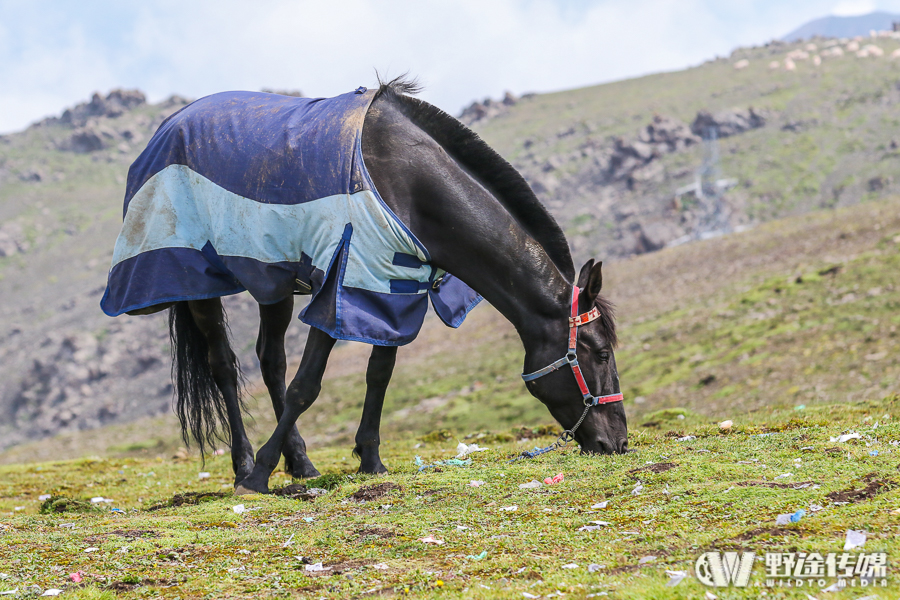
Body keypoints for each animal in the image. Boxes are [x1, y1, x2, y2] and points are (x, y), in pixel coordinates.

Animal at [100, 78, 624, 492]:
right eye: (599, 353)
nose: (617, 441)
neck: (408, 185)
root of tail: (170, 125)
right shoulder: (343, 283)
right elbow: (306, 386)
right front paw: (259, 476)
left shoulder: (390, 289)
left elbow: (378, 374)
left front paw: (370, 460)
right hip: (195, 280)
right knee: (225, 367)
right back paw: (245, 463)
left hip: (273, 281)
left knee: (270, 361)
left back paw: (301, 462)